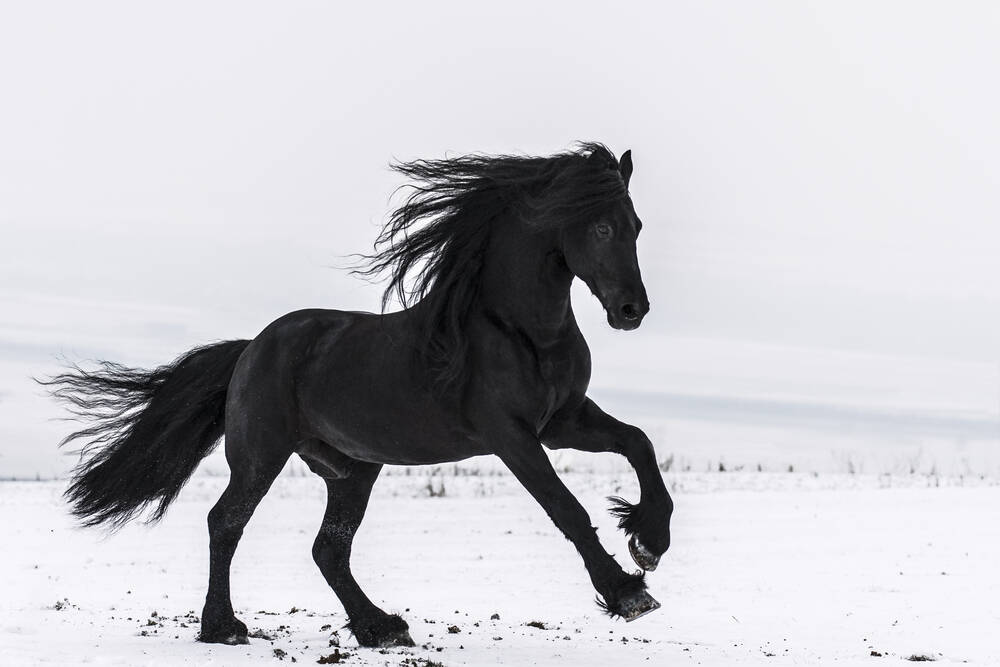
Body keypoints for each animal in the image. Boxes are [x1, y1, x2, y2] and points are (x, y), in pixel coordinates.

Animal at [45, 144, 672, 648]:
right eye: (600, 228)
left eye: (638, 225)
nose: (631, 310)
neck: (520, 331)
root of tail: (251, 348)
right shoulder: (511, 436)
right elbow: (565, 507)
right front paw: (627, 592)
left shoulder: (562, 421)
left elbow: (638, 444)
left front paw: (650, 541)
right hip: (261, 456)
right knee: (226, 522)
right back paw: (223, 627)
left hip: (351, 470)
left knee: (329, 548)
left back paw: (380, 626)